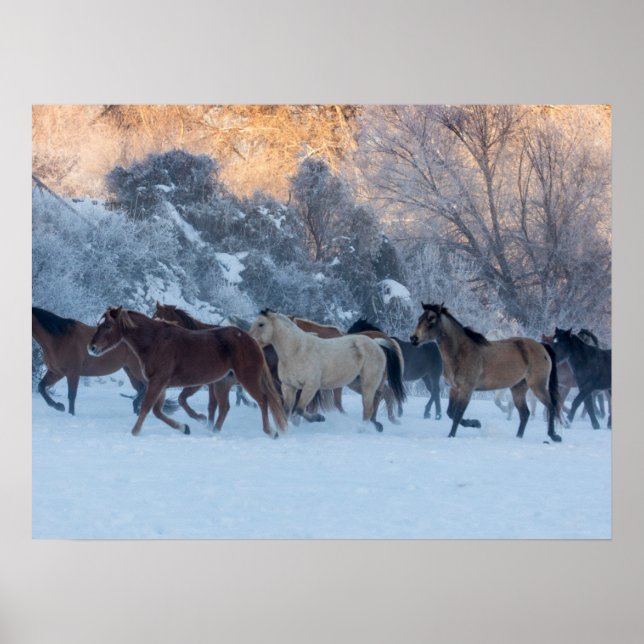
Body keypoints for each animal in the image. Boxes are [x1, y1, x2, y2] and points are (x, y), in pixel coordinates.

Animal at [88, 307, 287, 437]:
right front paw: (185, 427)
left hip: (247, 378)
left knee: (263, 400)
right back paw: (213, 432)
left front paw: (135, 432)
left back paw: (271, 432)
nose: (92, 348)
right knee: (225, 407)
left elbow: (146, 408)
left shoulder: (157, 382)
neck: (155, 341)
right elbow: (158, 411)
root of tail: (251, 340)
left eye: (107, 326)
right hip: (222, 382)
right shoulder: (161, 384)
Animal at [250, 310, 406, 432]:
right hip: (358, 383)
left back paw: (364, 429)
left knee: (369, 407)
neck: (297, 351)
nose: (251, 340)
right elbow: (287, 410)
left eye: (261, 324)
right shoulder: (288, 386)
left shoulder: (311, 386)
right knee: (379, 398)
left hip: (368, 384)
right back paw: (379, 424)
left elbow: (300, 409)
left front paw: (319, 418)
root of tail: (377, 343)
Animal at [410, 303, 561, 442]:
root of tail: (542, 346)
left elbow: (458, 413)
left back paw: (554, 436)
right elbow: (450, 413)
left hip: (537, 385)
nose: (413, 338)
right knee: (525, 414)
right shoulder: (454, 388)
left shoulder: (467, 389)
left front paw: (452, 435)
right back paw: (518, 437)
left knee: (551, 407)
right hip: (518, 388)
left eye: (431, 319)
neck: (461, 352)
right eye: (420, 318)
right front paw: (475, 423)